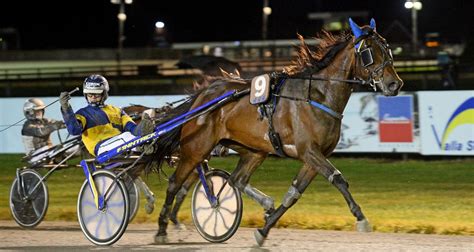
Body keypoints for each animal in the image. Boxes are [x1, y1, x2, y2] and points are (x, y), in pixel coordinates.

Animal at [153, 18, 404, 246]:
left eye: (387, 48)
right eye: (369, 51)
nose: (395, 84)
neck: (318, 95)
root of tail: (203, 96)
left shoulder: (313, 158)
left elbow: (293, 194)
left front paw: (263, 231)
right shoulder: (309, 151)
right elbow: (339, 179)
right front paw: (361, 218)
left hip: (253, 150)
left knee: (236, 180)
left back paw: (259, 203)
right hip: (196, 148)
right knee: (175, 183)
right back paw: (162, 230)